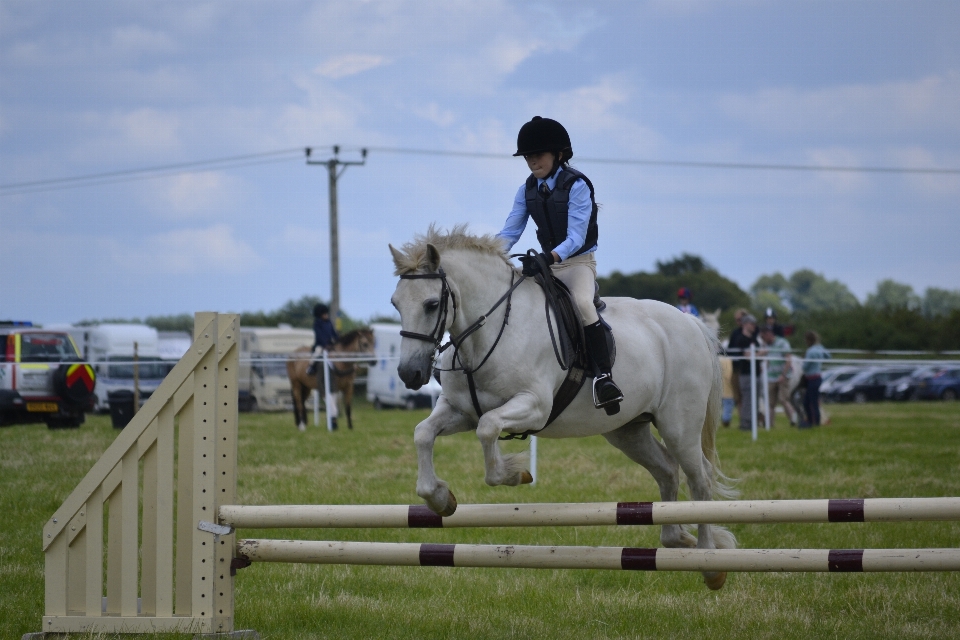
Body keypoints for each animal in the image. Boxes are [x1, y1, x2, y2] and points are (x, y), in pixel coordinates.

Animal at [386, 225, 740, 592]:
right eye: (395, 303)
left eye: (431, 304)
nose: (410, 374)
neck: (491, 331)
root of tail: (690, 324)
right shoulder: (460, 411)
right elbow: (424, 433)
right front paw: (441, 498)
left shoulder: (534, 406)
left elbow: (488, 429)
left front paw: (514, 474)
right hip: (628, 431)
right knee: (668, 471)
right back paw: (679, 539)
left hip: (679, 426)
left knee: (699, 480)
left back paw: (709, 560)